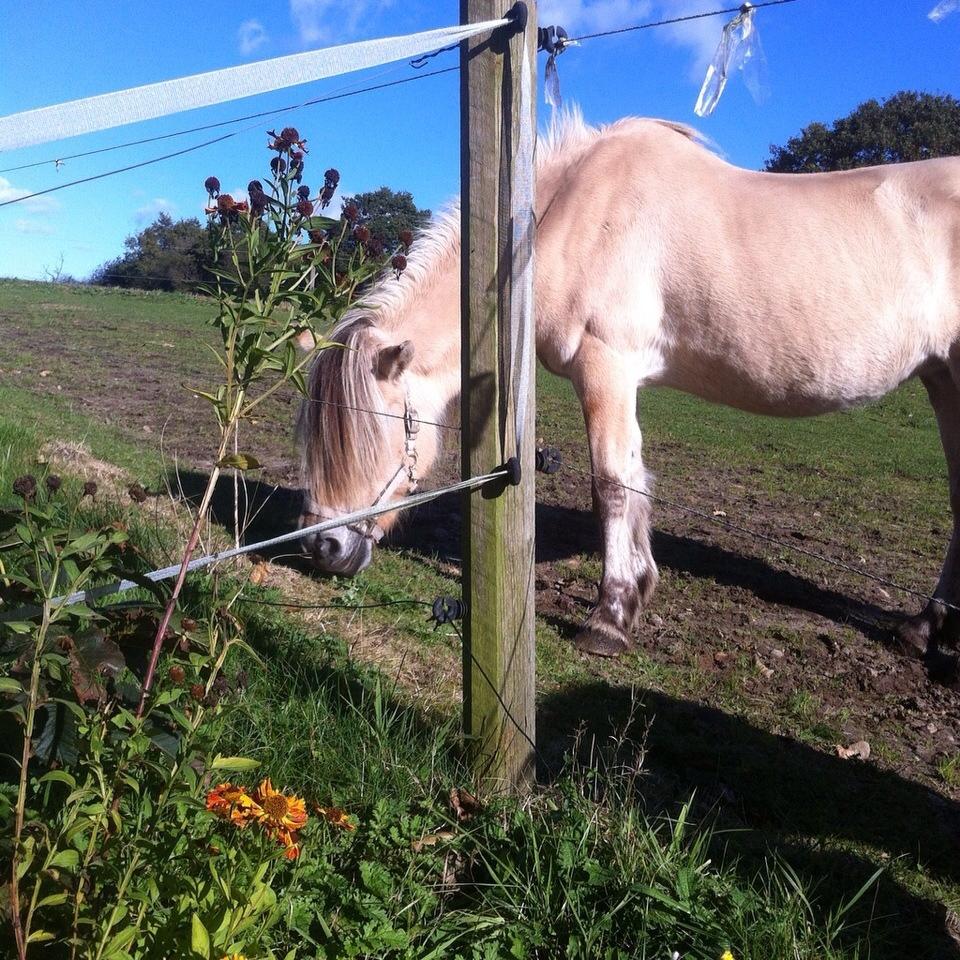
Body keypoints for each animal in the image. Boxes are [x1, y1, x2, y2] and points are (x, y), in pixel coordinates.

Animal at [296, 109, 960, 656]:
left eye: (372, 434)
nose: (321, 549)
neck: (568, 216)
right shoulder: (621, 380)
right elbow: (636, 481)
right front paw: (637, 589)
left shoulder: (605, 368)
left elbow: (612, 484)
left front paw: (608, 618)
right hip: (943, 380)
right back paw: (922, 628)